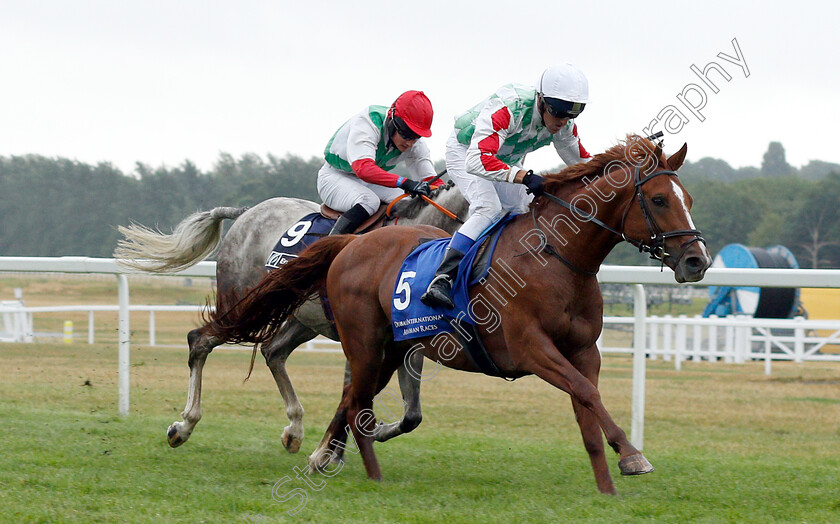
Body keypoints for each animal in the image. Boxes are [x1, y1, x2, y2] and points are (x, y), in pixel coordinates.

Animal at [111, 186, 466, 452]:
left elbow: (412, 415)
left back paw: (294, 428)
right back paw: (184, 425)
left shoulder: (408, 342)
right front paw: (331, 452)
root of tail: (246, 212)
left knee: (274, 351)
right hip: (246, 302)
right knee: (200, 340)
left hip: (301, 318)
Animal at [203, 136, 708, 496]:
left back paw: (323, 448)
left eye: (689, 199)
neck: (554, 257)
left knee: (315, 376)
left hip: (364, 338)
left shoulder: (584, 351)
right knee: (213, 342)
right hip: (305, 320)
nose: (696, 261)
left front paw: (608, 484)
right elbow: (586, 393)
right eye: (659, 200)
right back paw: (198, 426)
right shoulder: (531, 349)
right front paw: (633, 455)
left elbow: (587, 406)